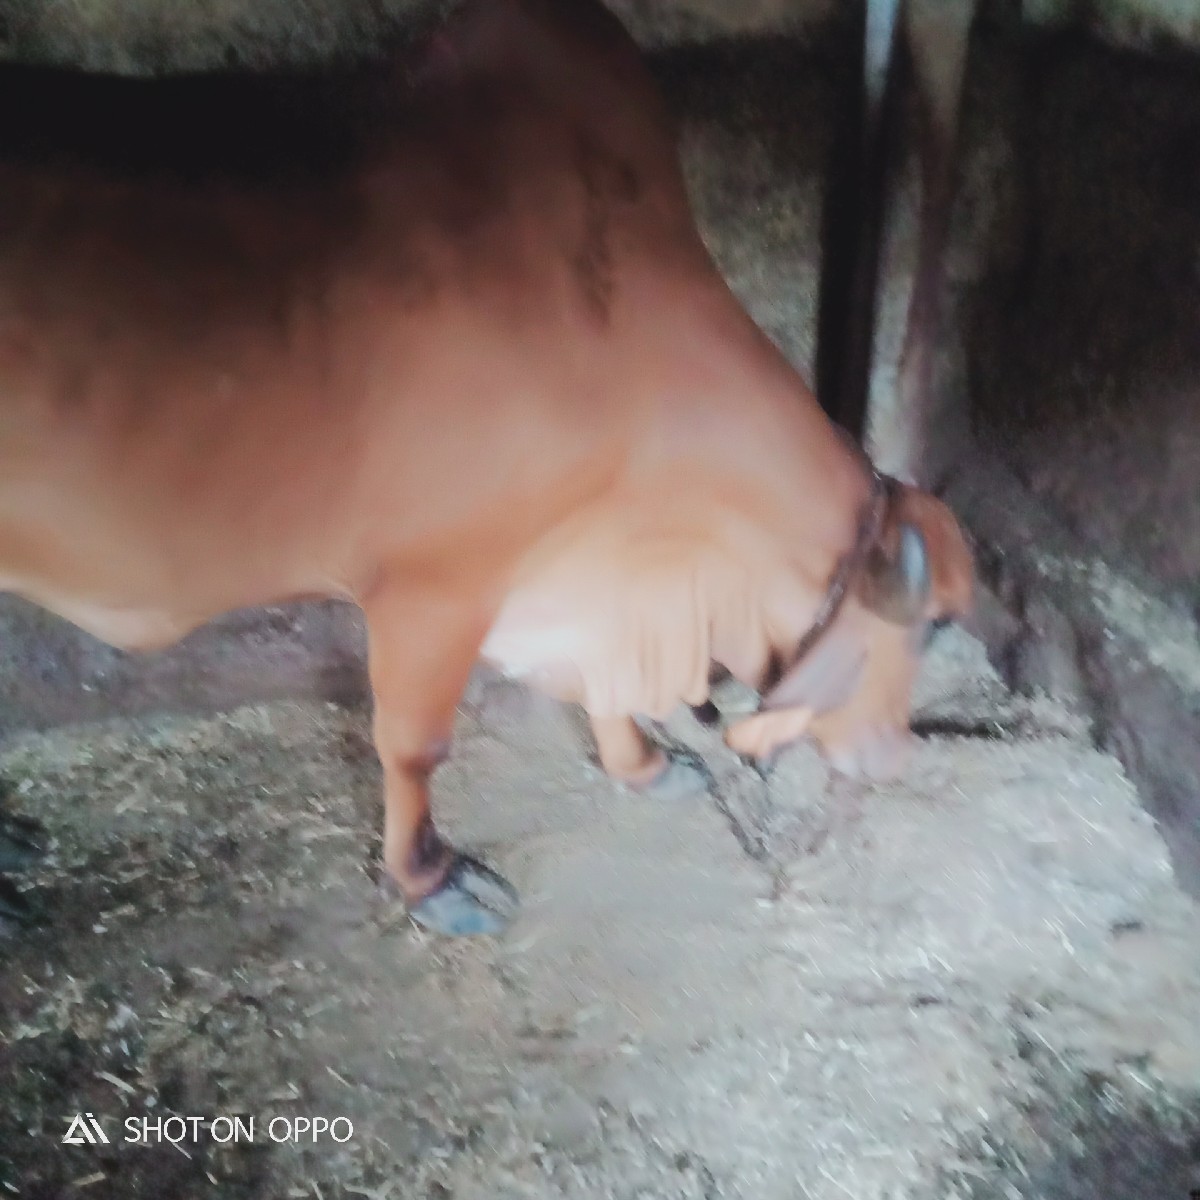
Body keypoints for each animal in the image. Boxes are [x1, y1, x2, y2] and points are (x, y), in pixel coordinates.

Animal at [0, 0, 973, 937]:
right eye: (930, 629)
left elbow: (602, 681)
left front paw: (645, 766)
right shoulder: (431, 587)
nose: (895, 756)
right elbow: (415, 743)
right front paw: (431, 880)